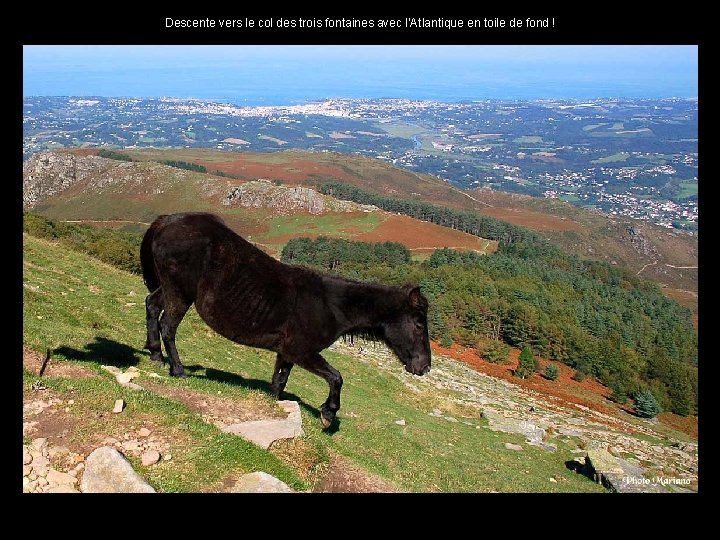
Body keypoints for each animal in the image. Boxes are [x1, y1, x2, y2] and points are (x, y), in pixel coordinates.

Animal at [143, 213, 430, 428]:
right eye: (418, 324)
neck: (329, 305)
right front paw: (328, 413)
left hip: (168, 289)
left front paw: (273, 406)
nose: (424, 367)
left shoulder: (286, 352)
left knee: (152, 306)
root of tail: (167, 220)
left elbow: (279, 381)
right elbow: (336, 377)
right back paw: (177, 370)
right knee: (168, 326)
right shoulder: (301, 351)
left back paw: (156, 355)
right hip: (180, 293)